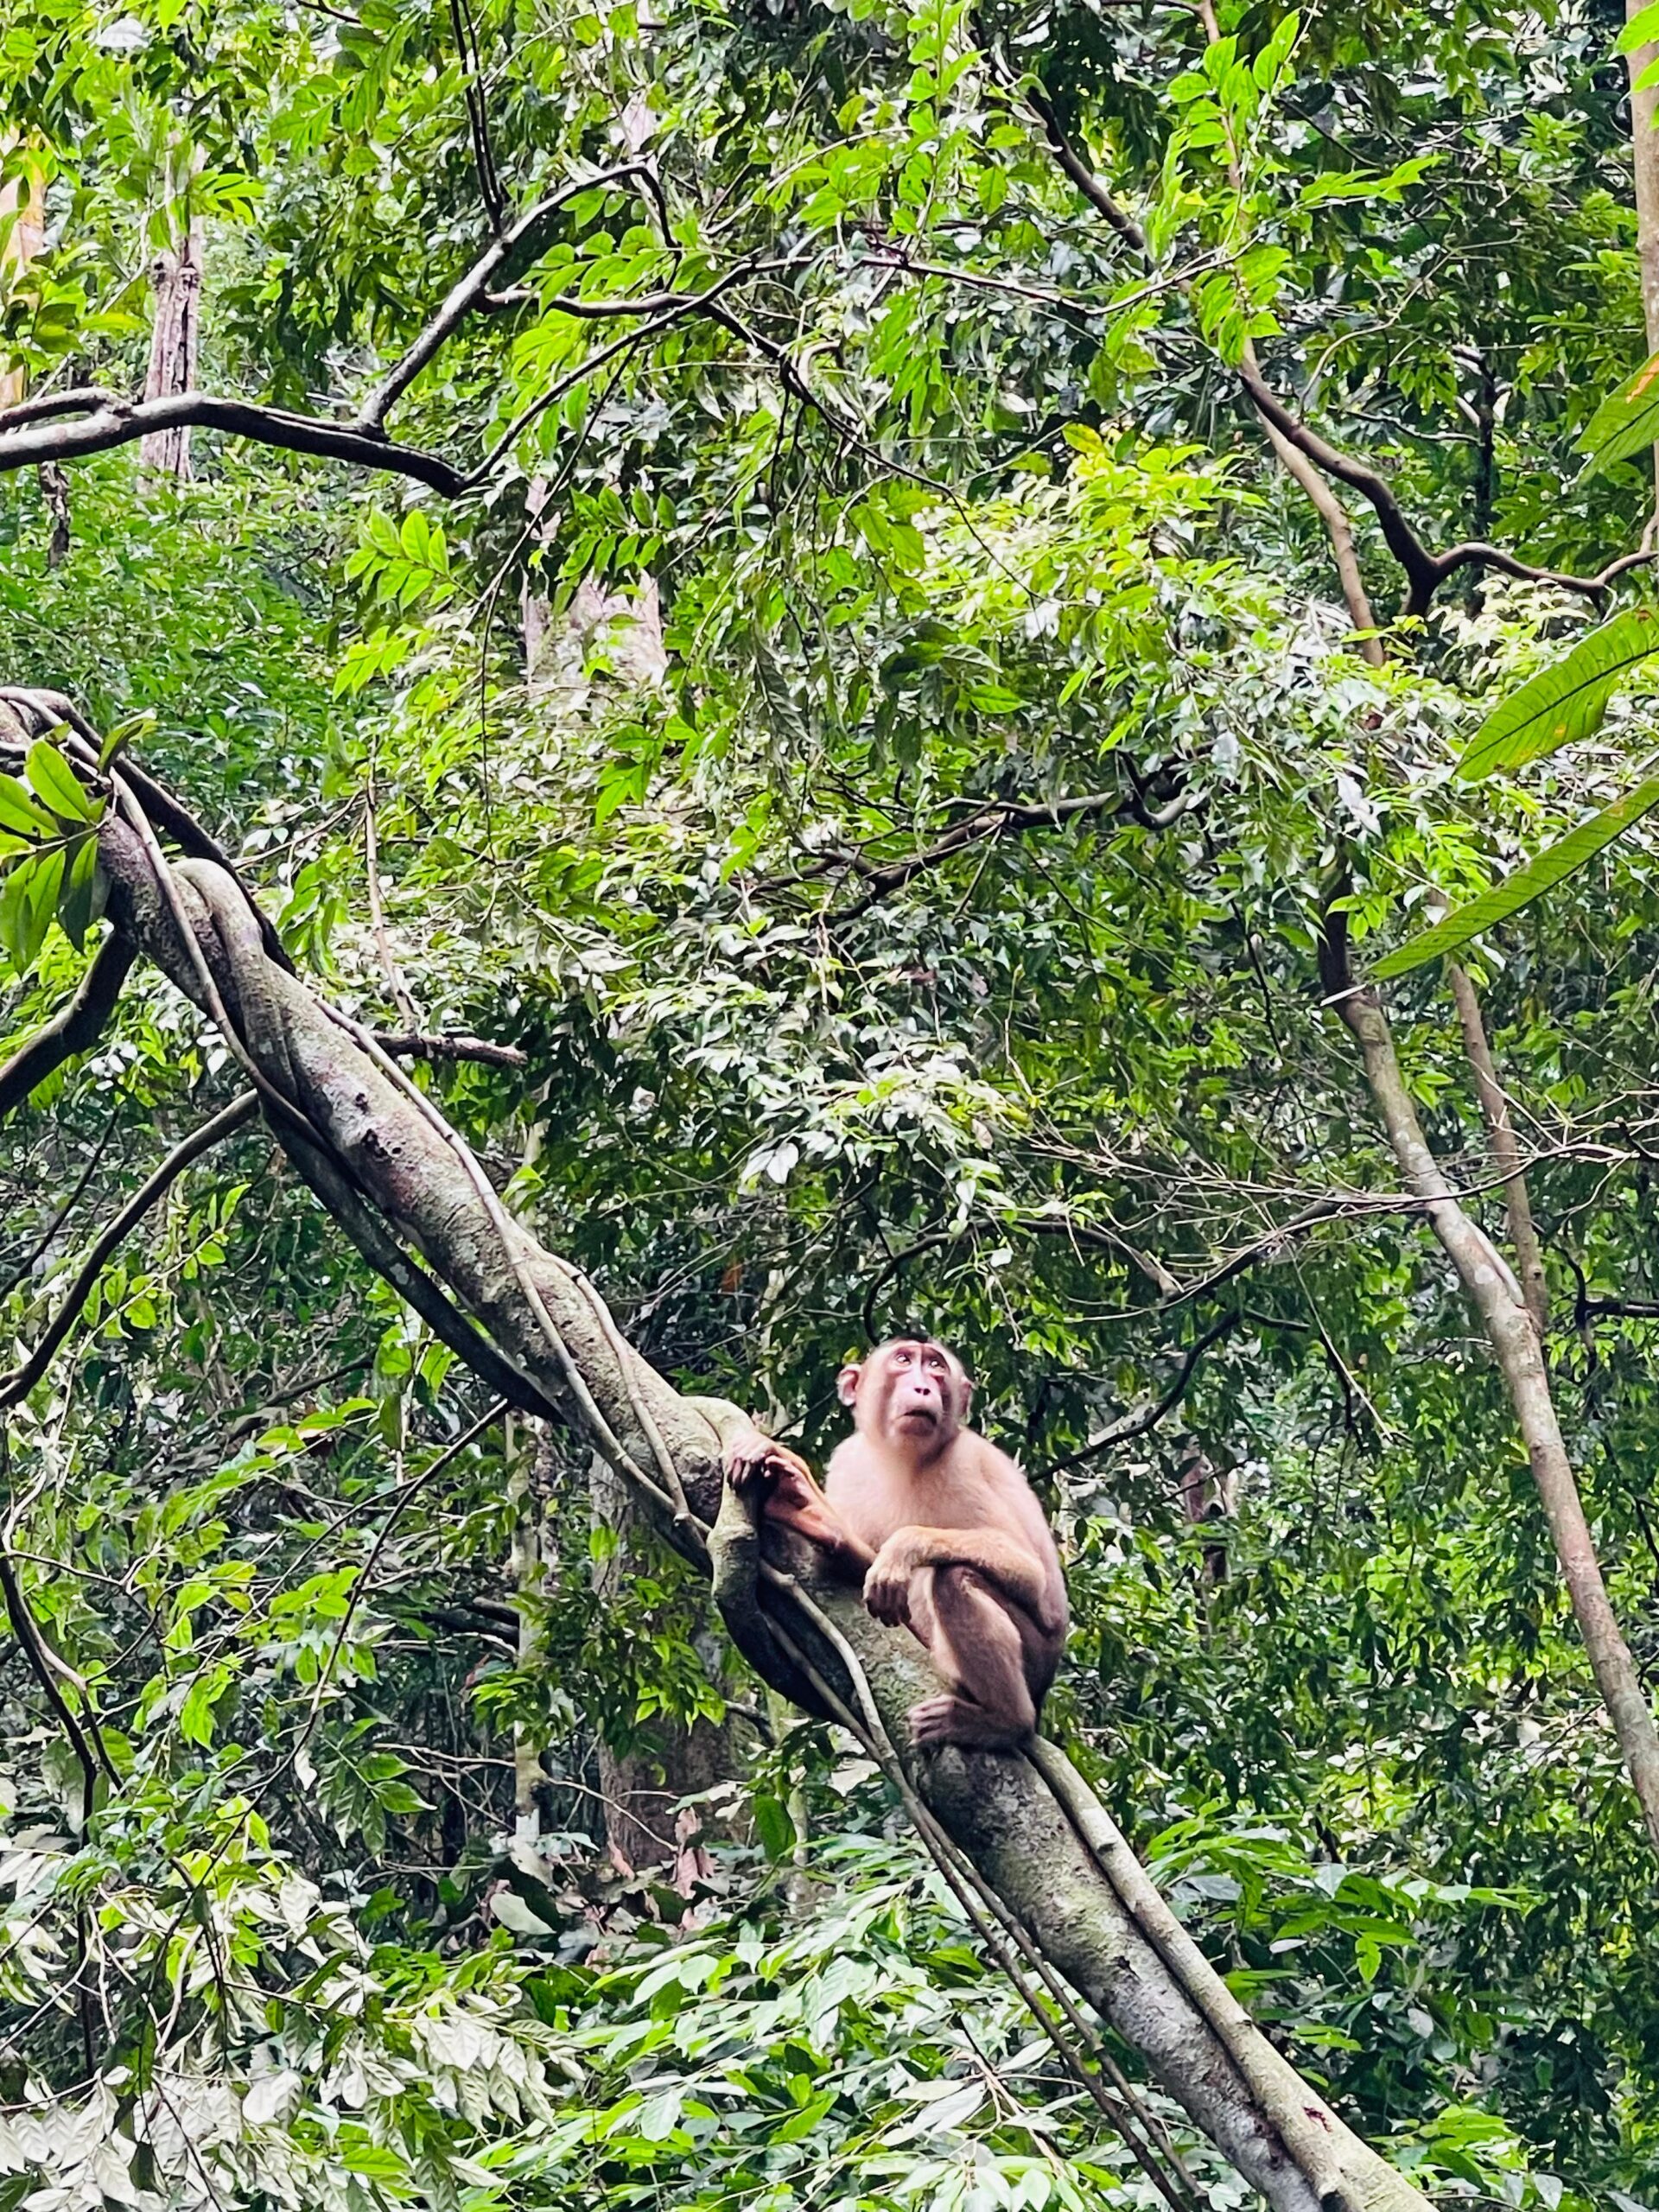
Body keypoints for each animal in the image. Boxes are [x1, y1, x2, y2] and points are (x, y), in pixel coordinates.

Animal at [723, 1338, 1067, 1751]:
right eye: (904, 1360)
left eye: (935, 1367)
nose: (923, 1387)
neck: (903, 1458)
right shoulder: (849, 1460)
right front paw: (806, 1505)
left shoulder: (963, 1462)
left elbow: (1031, 1572)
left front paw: (903, 1548)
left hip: (1035, 1661)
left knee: (953, 1577)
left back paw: (1005, 1721)